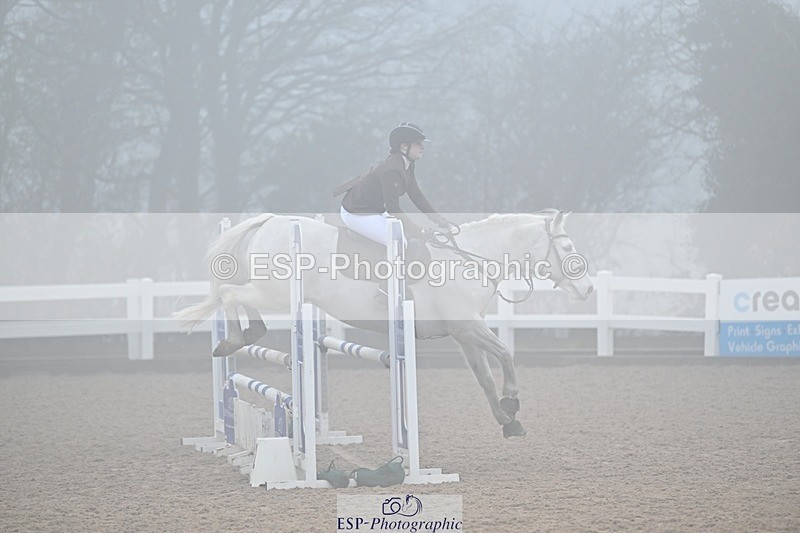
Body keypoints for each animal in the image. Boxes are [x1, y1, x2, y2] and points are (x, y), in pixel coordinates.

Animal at [176, 210, 594, 438]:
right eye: (568, 248)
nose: (588, 289)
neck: (469, 258)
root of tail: (270, 222)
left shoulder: (464, 333)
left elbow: (486, 378)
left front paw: (508, 421)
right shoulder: (468, 326)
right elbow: (506, 354)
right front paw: (513, 401)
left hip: (271, 291)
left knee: (234, 296)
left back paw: (245, 336)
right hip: (274, 291)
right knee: (230, 294)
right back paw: (234, 339)